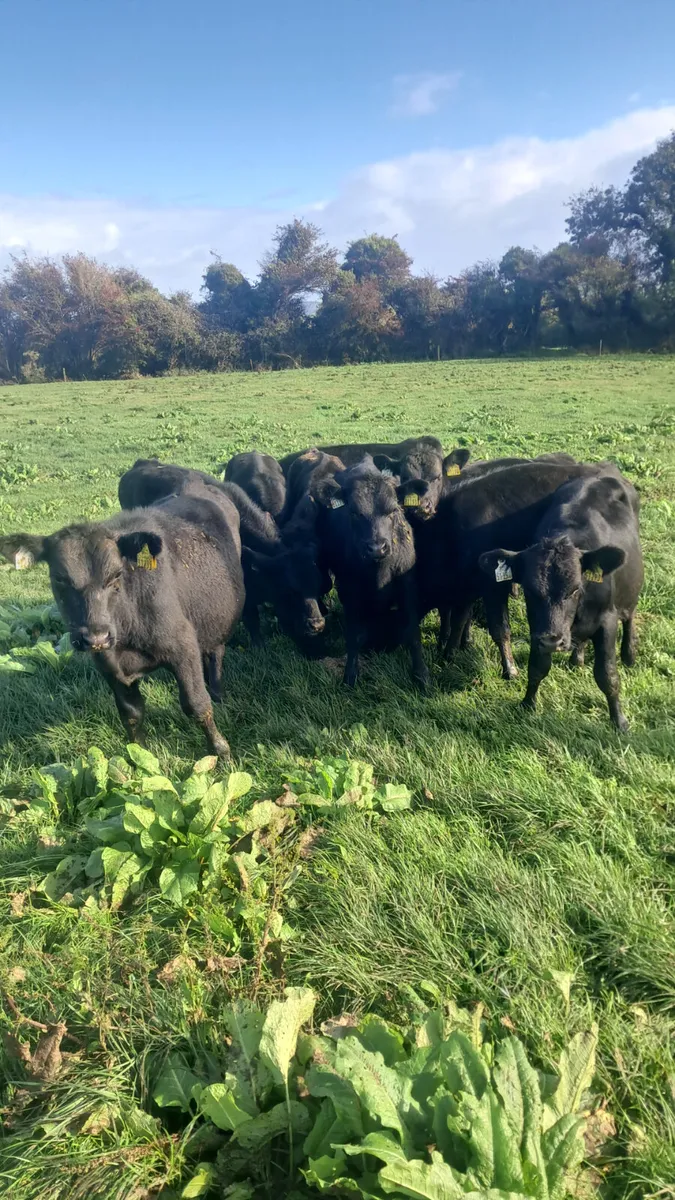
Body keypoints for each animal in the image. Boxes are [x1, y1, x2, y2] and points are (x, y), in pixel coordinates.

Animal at [0, 488, 247, 757]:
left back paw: (218, 694)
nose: (96, 637)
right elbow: (131, 713)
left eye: (116, 575)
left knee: (215, 654)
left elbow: (197, 704)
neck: (127, 634)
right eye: (59, 578)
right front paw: (139, 755)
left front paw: (221, 751)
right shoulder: (108, 665)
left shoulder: (184, 647)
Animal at [312, 456, 429, 691]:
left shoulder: (409, 585)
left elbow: (412, 631)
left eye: (393, 510)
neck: (379, 571)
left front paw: (421, 676)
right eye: (354, 512)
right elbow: (354, 636)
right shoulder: (348, 590)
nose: (377, 548)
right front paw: (350, 676)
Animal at [413, 459, 613, 680]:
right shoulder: (467, 590)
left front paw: (510, 669)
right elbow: (460, 619)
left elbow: (499, 628)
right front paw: (449, 653)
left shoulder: (492, 585)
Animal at [478, 471, 642, 730]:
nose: (553, 641)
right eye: (529, 590)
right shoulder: (539, 628)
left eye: (575, 589)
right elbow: (537, 667)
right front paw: (527, 704)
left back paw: (629, 654)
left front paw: (620, 721)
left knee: (630, 616)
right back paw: (578, 659)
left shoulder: (607, 620)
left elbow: (608, 675)